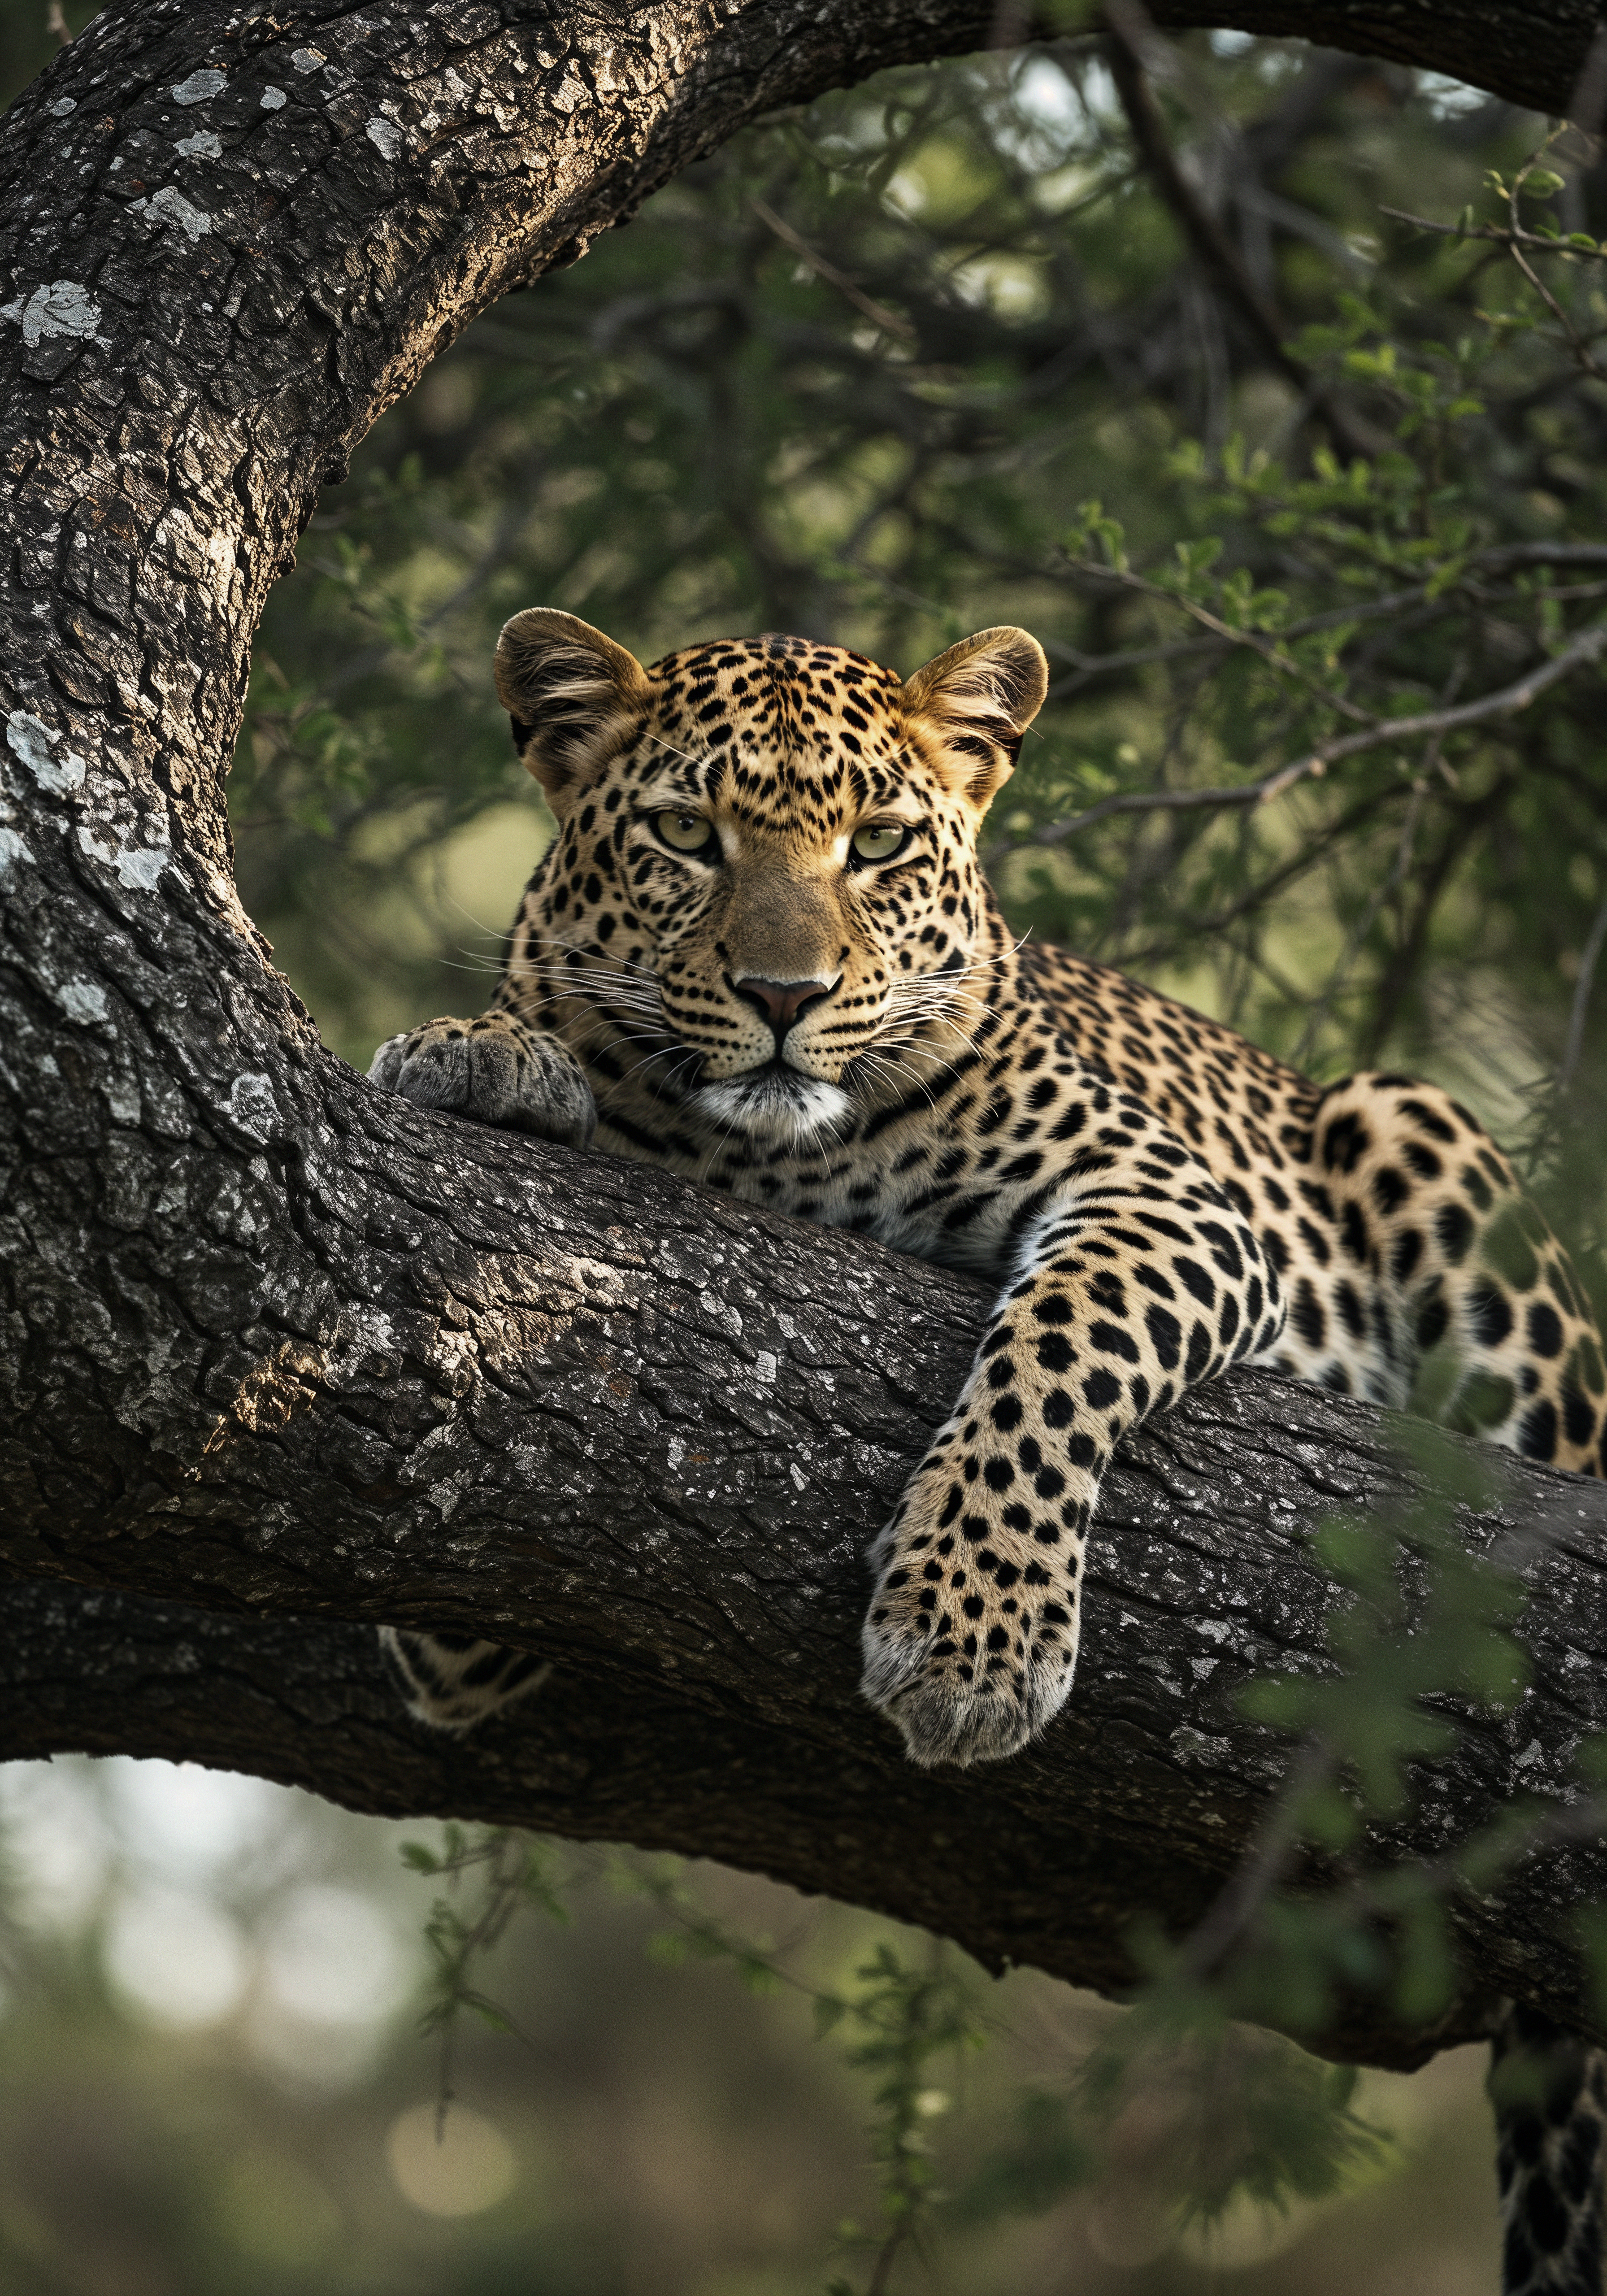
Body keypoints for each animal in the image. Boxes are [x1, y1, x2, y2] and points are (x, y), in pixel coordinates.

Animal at [370, 611, 1606, 2296]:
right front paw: (488, 1058)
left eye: (879, 845)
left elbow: (1053, 1353)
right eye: (687, 837)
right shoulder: (470, 1600)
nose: (780, 993)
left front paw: (972, 1638)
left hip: (1416, 1133)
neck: (755, 1155)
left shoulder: (1169, 1199)